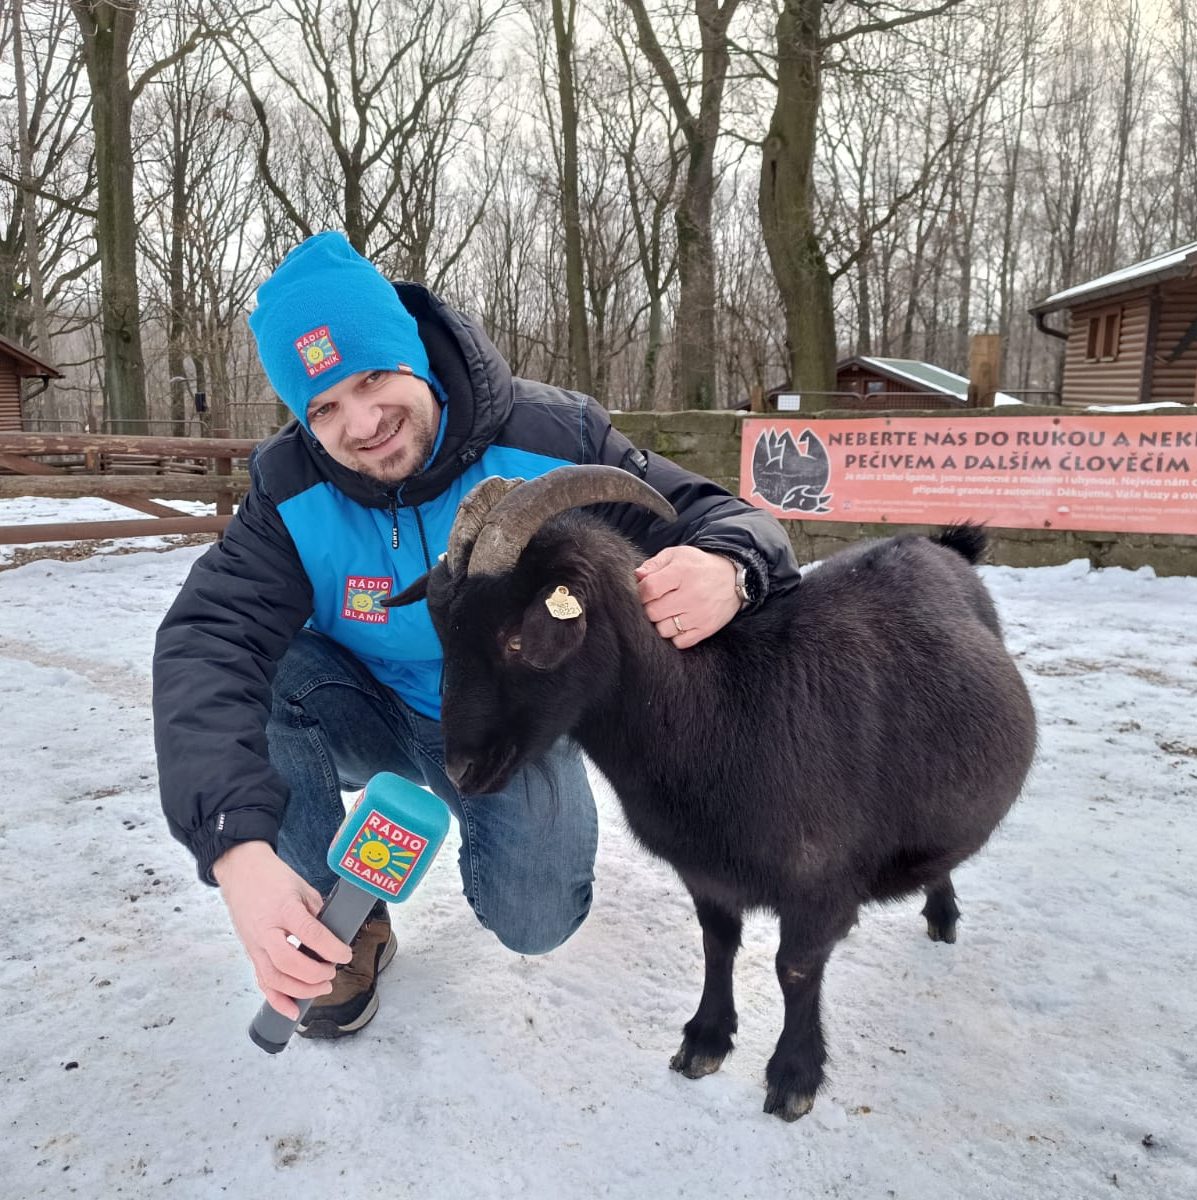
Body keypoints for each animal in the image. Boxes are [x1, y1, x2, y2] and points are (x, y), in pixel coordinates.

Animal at [388, 463, 1036, 1118]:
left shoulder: (819, 880)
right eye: (444, 634)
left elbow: (795, 968)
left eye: (518, 637)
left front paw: (794, 1076)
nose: (462, 770)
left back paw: (942, 915)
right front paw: (705, 1040)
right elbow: (717, 945)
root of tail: (940, 546)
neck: (719, 712)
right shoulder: (705, 870)